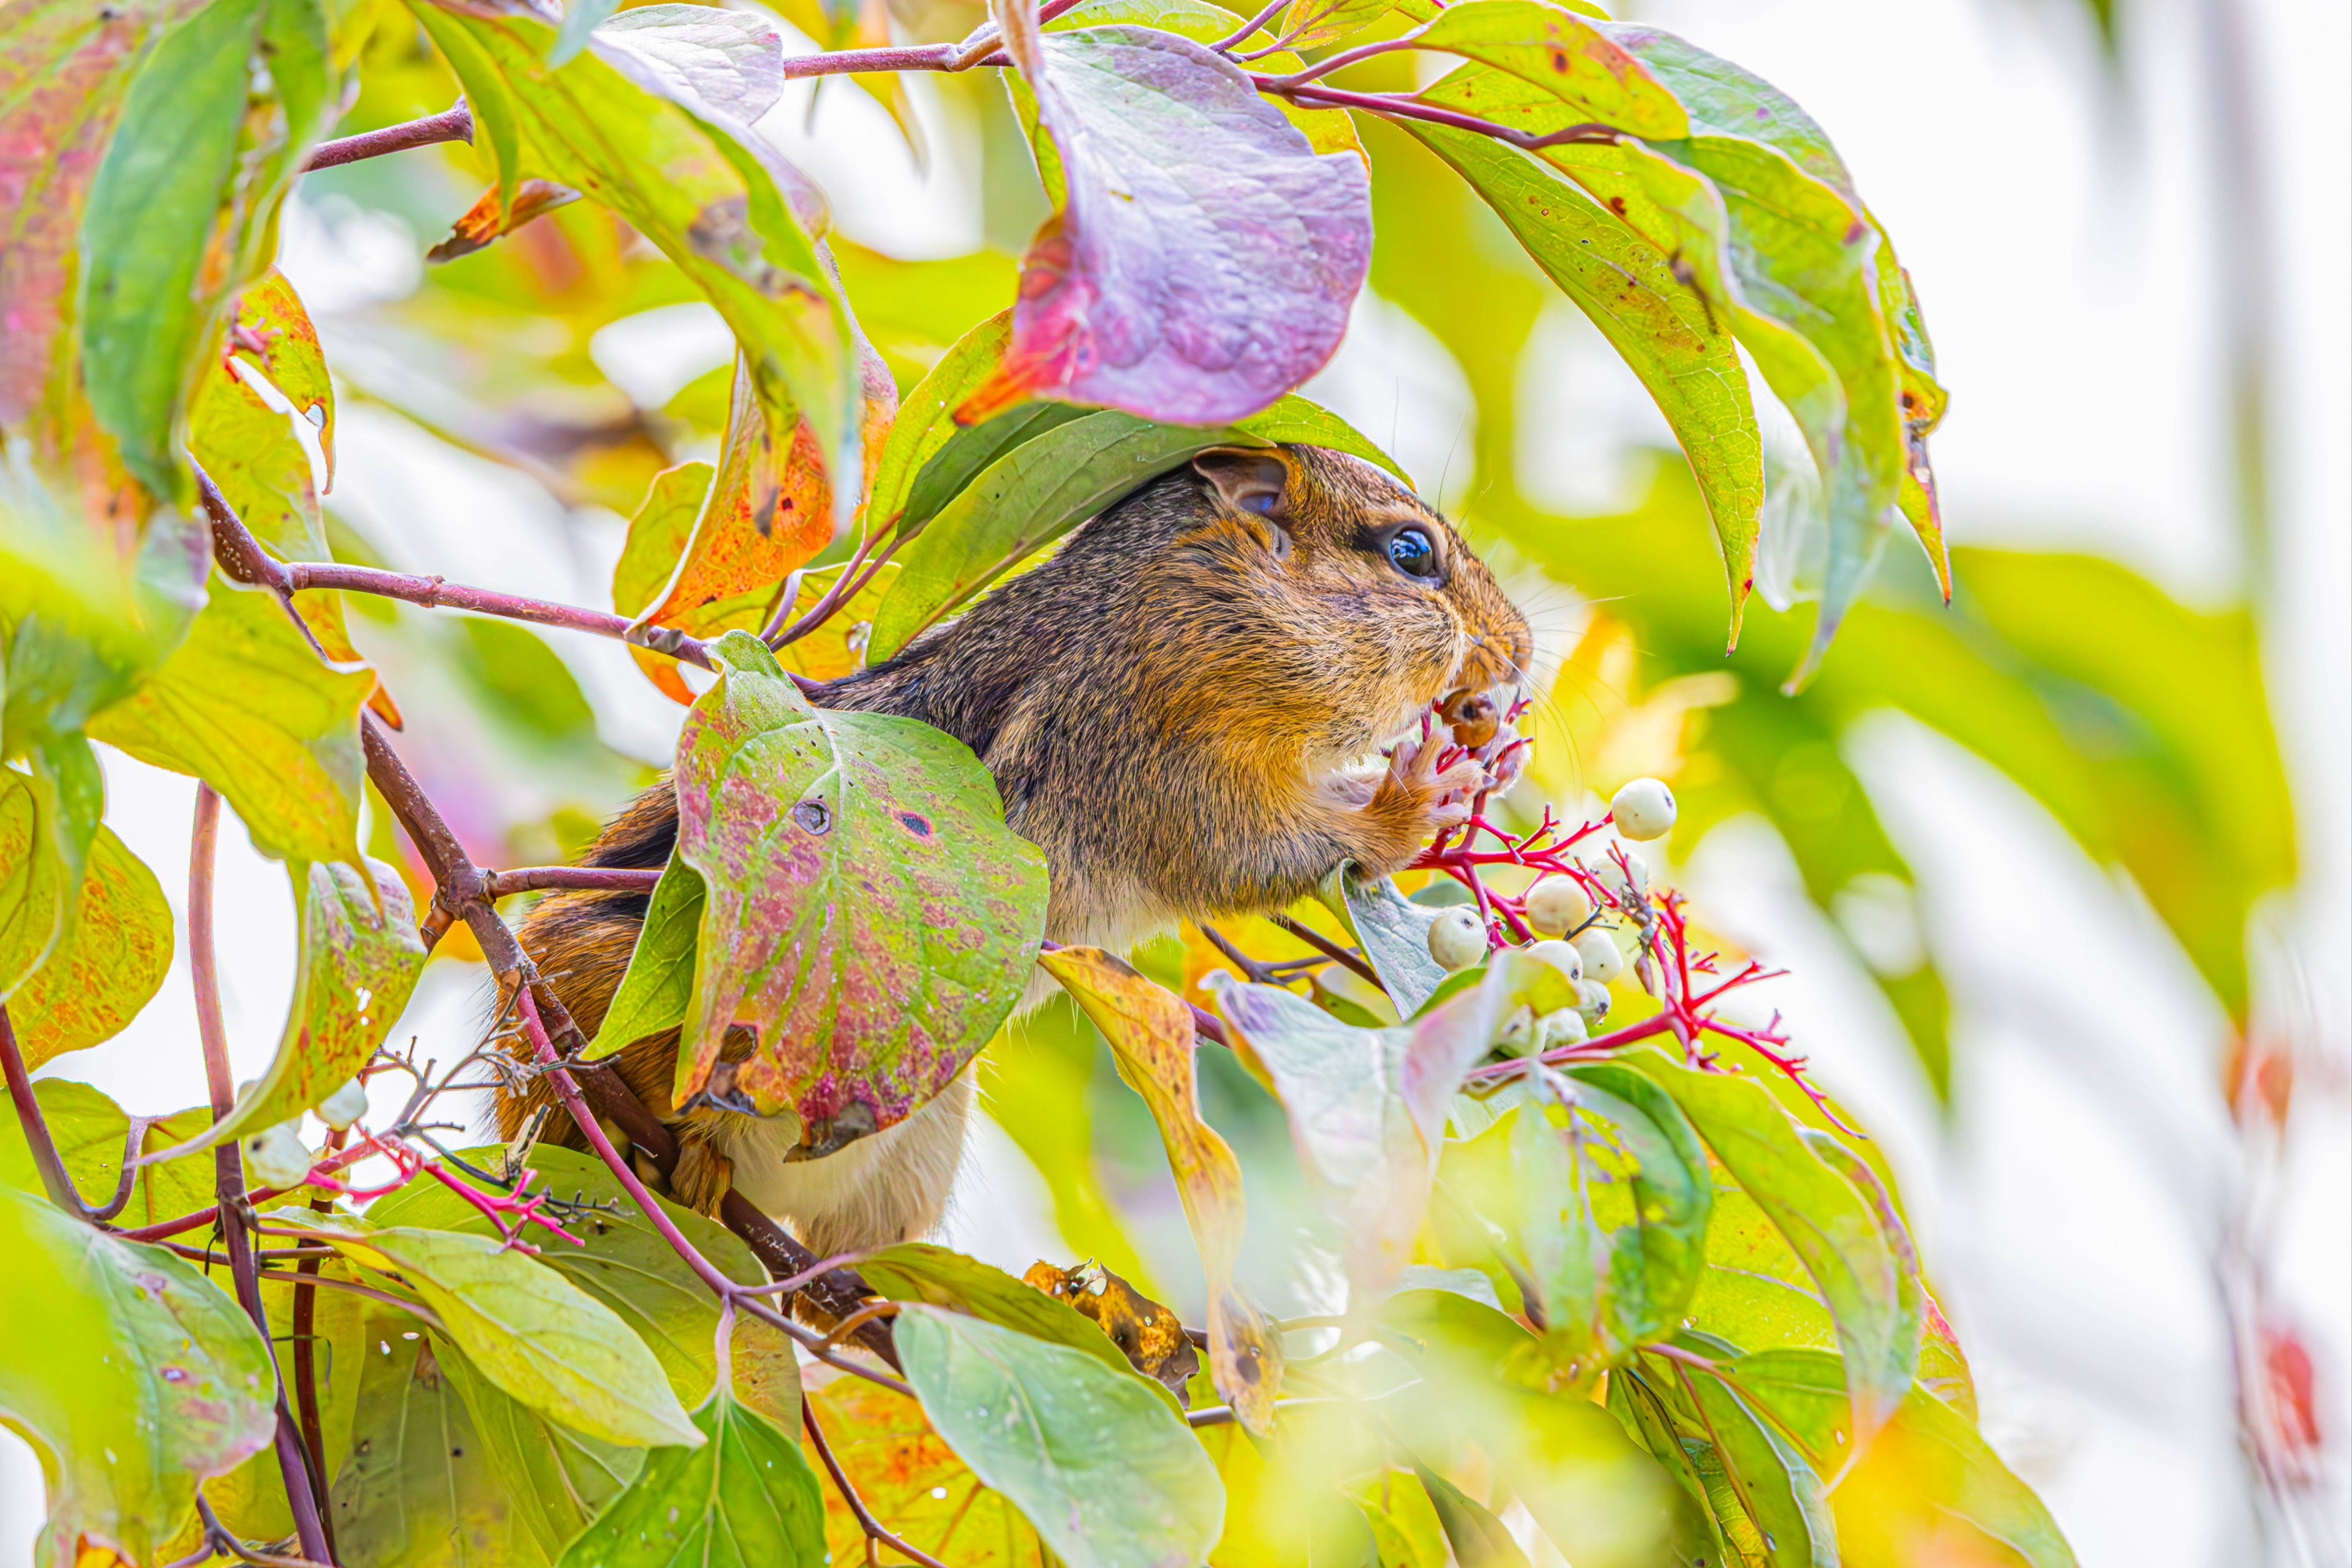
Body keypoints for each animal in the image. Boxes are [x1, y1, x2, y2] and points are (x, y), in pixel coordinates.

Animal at [497, 444, 1532, 1258]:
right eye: (1410, 553)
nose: (1521, 655)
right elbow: (1263, 854)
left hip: (917, 1146)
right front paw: (1418, 796)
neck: (1193, 600)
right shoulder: (1157, 756)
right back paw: (665, 1153)